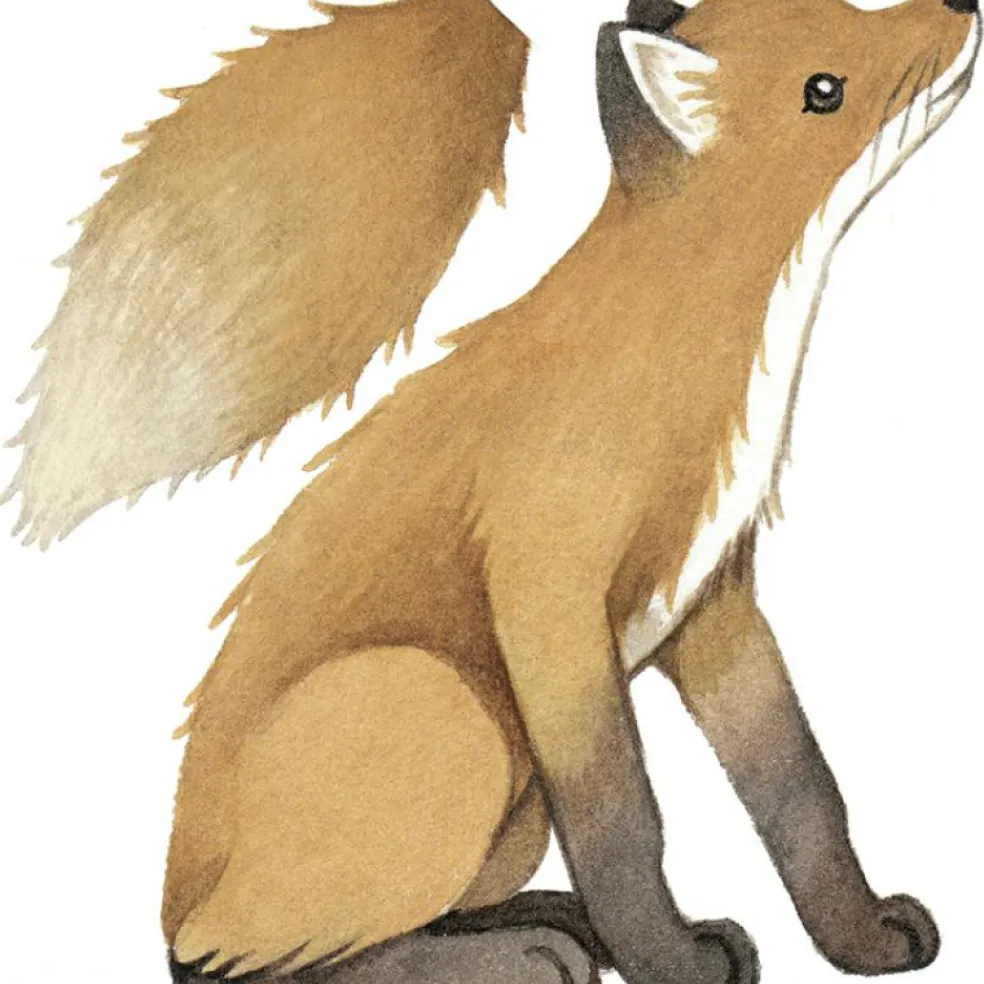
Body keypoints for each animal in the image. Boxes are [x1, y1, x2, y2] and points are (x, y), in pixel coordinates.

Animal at [6, 1, 981, 983]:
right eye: (825, 89)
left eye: (852, 14)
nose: (960, 10)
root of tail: (173, 900)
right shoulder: (548, 595)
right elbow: (623, 822)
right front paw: (674, 961)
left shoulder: (713, 600)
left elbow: (800, 792)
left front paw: (861, 937)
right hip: (449, 714)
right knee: (250, 964)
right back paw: (533, 953)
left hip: (508, 812)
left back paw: (549, 925)